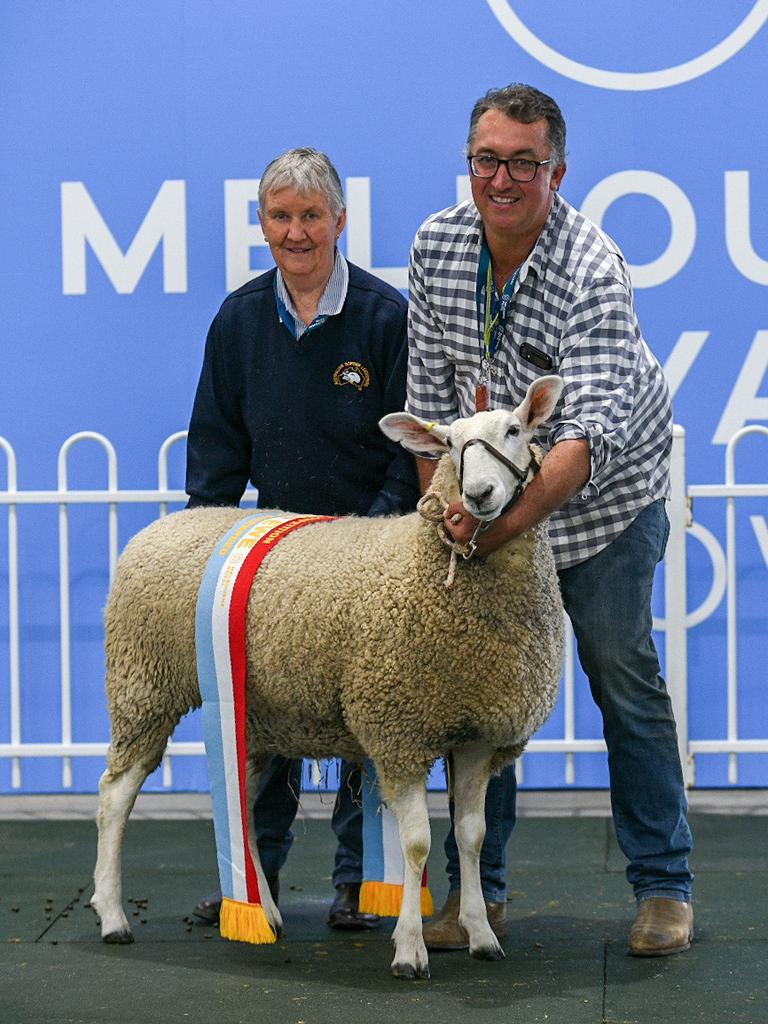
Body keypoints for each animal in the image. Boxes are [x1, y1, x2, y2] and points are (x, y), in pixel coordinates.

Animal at [91, 372, 565, 978]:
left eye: (513, 430)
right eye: (452, 444)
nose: (480, 494)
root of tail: (161, 525)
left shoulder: (480, 734)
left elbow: (473, 837)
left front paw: (480, 935)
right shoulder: (398, 729)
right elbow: (416, 843)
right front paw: (409, 949)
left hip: (249, 715)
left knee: (243, 808)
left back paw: (263, 914)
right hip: (142, 684)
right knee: (115, 794)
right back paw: (113, 916)